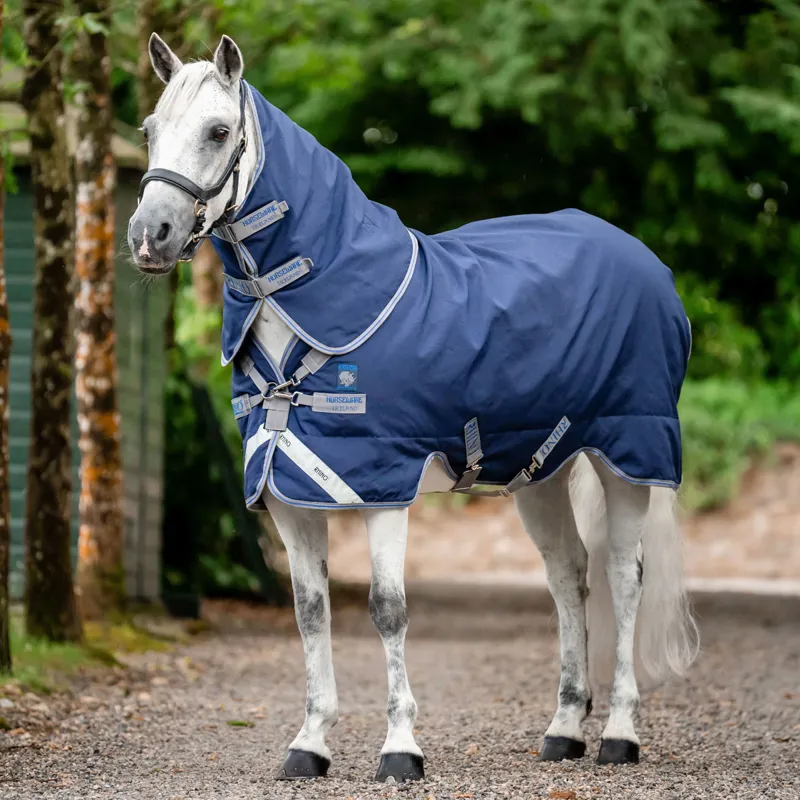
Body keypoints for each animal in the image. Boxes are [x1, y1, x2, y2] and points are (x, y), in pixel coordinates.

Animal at [128, 34, 699, 783]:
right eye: (150, 129)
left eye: (219, 131)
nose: (150, 235)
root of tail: (646, 262)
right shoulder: (287, 492)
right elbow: (310, 612)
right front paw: (309, 743)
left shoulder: (382, 488)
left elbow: (387, 610)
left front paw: (400, 747)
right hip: (541, 473)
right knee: (567, 577)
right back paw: (564, 730)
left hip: (627, 458)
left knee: (624, 579)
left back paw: (619, 735)